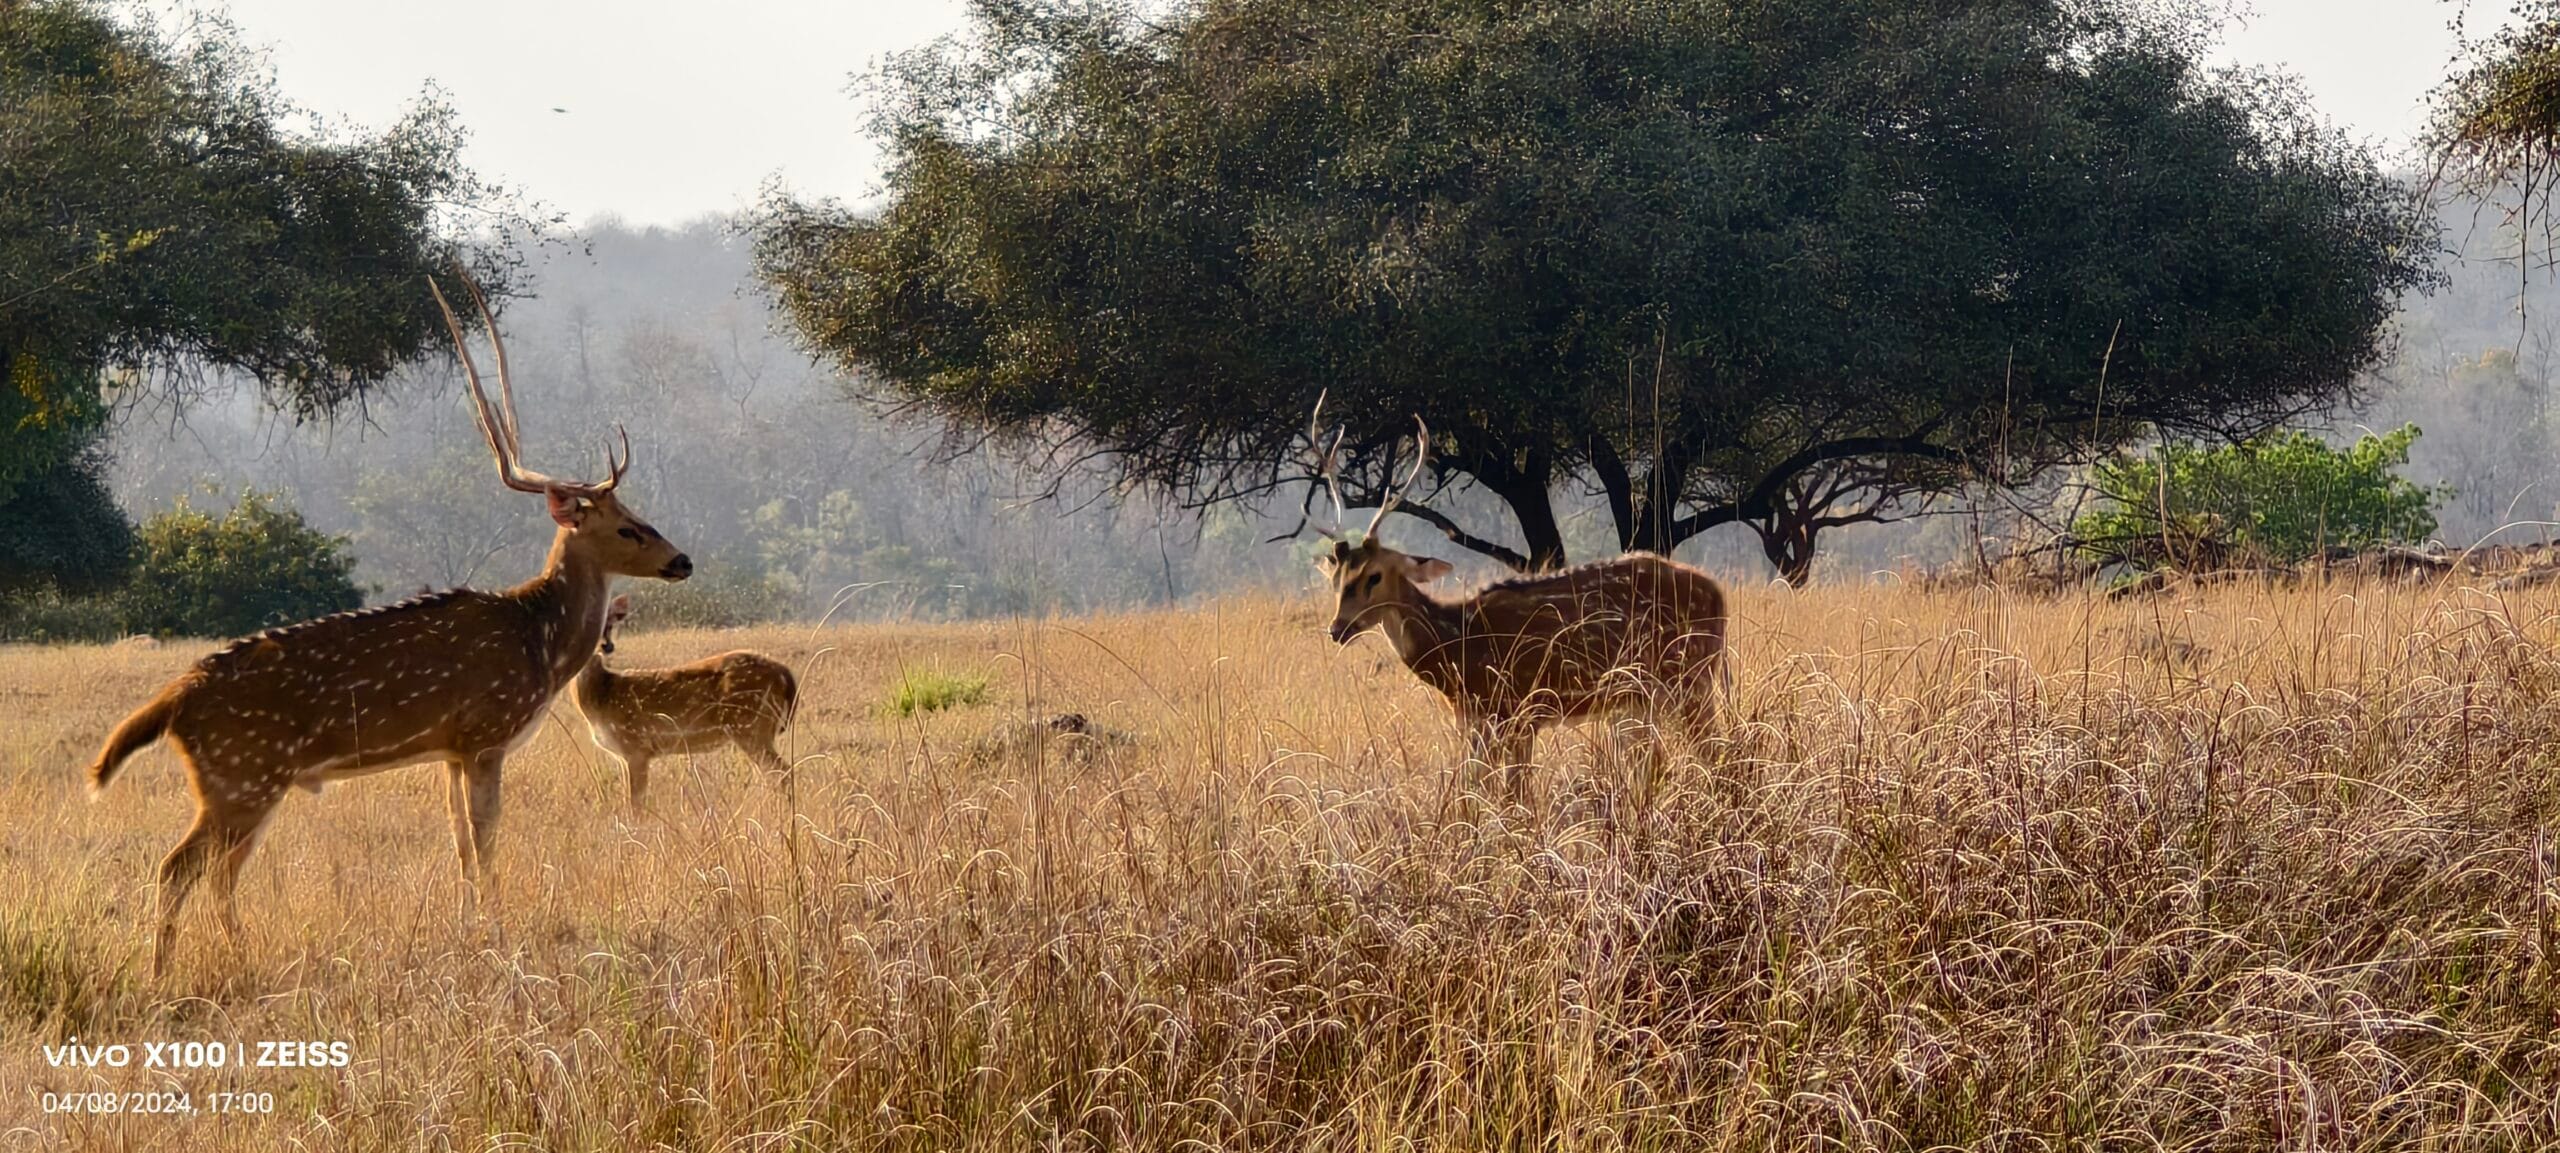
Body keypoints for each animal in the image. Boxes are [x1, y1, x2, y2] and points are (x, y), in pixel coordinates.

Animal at [85, 272, 694, 978]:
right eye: (628, 527)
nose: (683, 560)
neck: (537, 644)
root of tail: (174, 701)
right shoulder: (486, 732)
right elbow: (486, 837)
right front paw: (496, 930)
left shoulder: (451, 748)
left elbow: (461, 843)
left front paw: (469, 925)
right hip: (243, 773)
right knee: (180, 866)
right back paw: (171, 968)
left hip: (239, 782)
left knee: (213, 872)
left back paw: (228, 956)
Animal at [571, 594, 798, 805]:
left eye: (610, 623)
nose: (607, 646)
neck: (602, 697)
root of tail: (785, 674)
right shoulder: (626, 754)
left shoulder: (636, 746)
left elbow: (636, 804)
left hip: (751, 726)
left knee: (783, 772)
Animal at [1304, 399, 1731, 801]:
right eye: (1336, 578)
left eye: (1375, 575)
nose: (1337, 629)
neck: (1459, 648)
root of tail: (1718, 596)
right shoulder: (1477, 719)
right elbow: (1479, 790)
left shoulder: (1519, 707)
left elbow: (1515, 796)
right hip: (1649, 695)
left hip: (1687, 676)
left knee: (1719, 753)